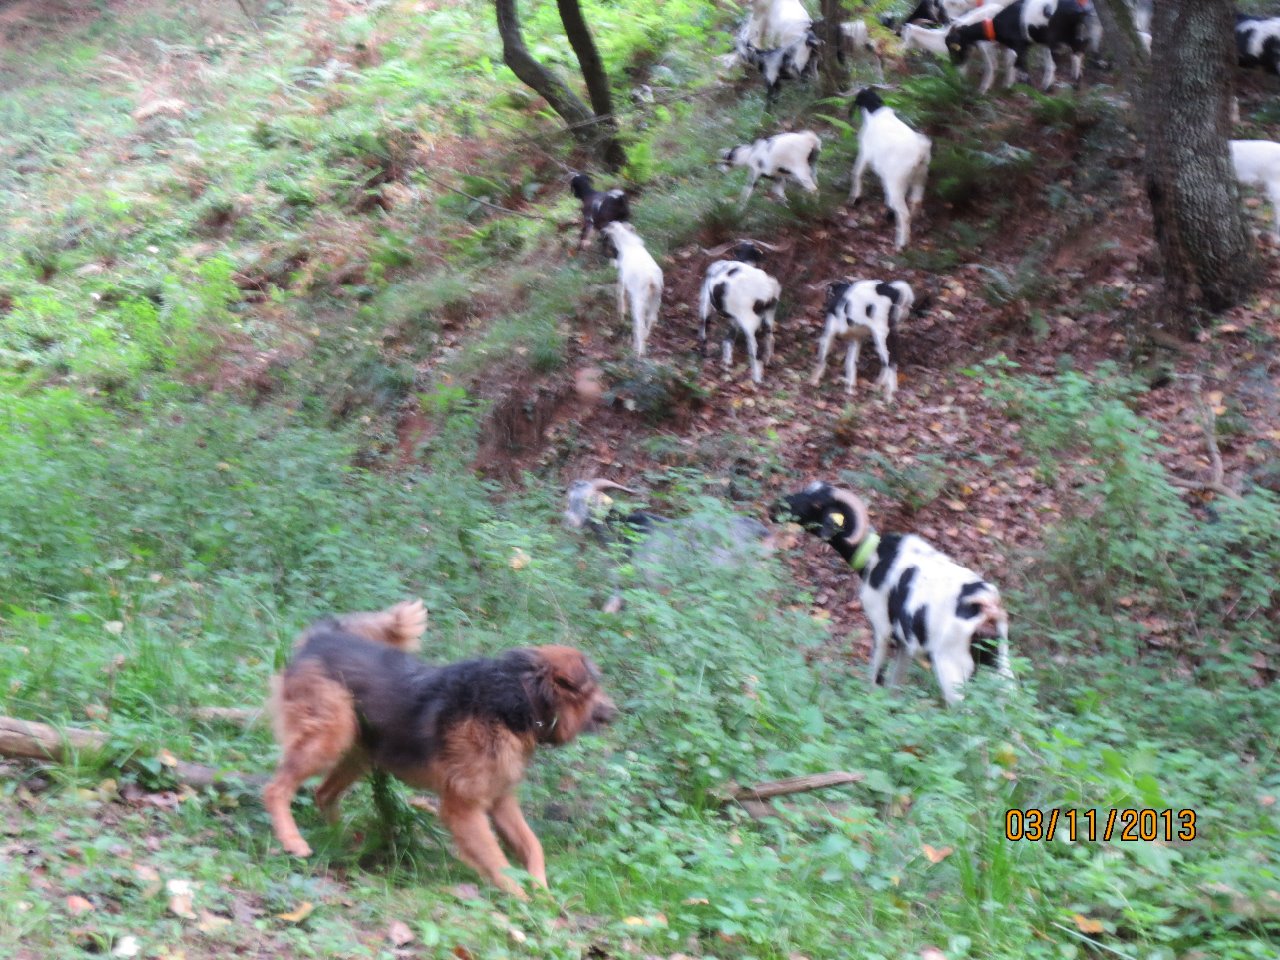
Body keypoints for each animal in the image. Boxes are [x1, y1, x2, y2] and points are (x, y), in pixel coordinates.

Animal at [263, 599, 617, 898]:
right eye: (595, 689)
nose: (618, 711)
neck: (516, 701)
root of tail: (320, 639)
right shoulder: (463, 808)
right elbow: (498, 861)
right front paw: (522, 902)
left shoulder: (501, 800)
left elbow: (533, 846)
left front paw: (542, 891)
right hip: (329, 738)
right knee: (276, 788)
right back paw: (293, 841)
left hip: (360, 752)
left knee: (323, 794)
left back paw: (342, 840)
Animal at [601, 222, 664, 358]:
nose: (603, 231)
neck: (628, 244)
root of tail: (652, 281)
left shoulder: (622, 280)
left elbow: (621, 296)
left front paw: (621, 316)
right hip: (656, 301)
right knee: (651, 321)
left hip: (639, 303)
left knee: (640, 325)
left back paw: (639, 351)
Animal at [698, 253, 782, 385]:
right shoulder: (735, 319)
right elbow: (728, 341)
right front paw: (726, 364)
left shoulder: (706, 299)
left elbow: (704, 323)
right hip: (768, 315)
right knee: (770, 337)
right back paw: (767, 362)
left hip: (748, 320)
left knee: (753, 347)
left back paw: (756, 378)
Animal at [773, 482, 1013, 706]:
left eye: (817, 504)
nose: (775, 509)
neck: (874, 557)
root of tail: (986, 606)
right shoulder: (906, 644)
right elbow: (895, 684)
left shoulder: (882, 629)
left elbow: (876, 676)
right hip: (999, 664)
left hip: (952, 668)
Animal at [848, 88, 932, 250]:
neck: (876, 113)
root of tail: (920, 152)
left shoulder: (865, 153)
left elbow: (856, 173)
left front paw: (855, 198)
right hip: (920, 177)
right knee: (915, 203)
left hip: (897, 181)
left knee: (904, 213)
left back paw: (901, 244)